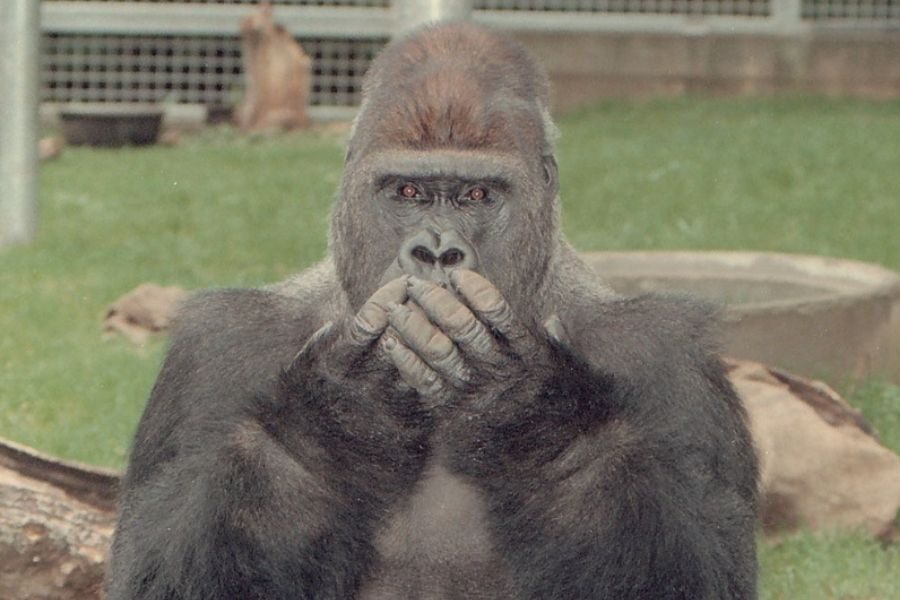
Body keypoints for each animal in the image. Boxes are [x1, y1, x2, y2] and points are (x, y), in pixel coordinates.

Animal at [106, 22, 758, 600]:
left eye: (477, 195)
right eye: (409, 192)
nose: (438, 250)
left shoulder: (667, 351)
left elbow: (706, 575)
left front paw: (538, 413)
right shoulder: (219, 349)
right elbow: (152, 575)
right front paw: (328, 420)